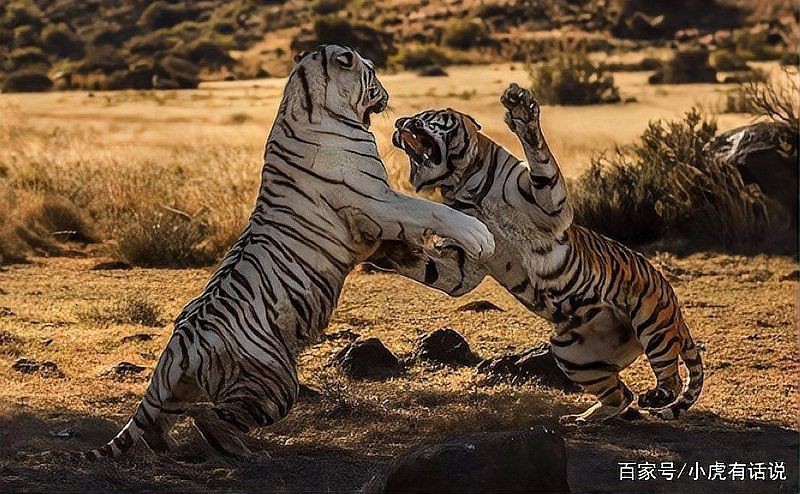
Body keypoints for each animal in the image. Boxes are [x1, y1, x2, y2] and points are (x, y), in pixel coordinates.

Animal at [50, 45, 495, 460]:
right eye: (371, 73)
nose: (387, 95)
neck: (307, 99)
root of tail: (177, 348)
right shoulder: (377, 201)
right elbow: (431, 210)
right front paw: (479, 236)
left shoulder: (372, 226)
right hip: (276, 381)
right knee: (209, 417)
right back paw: (246, 450)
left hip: (186, 395)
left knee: (164, 424)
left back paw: (172, 448)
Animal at [373, 83, 703, 424]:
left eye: (428, 116)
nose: (399, 122)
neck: (462, 184)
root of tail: (676, 309)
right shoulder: (464, 262)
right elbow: (428, 266)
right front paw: (381, 244)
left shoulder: (549, 207)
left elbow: (541, 160)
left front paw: (520, 111)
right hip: (570, 352)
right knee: (620, 395)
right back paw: (582, 418)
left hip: (652, 324)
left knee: (670, 376)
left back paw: (654, 396)